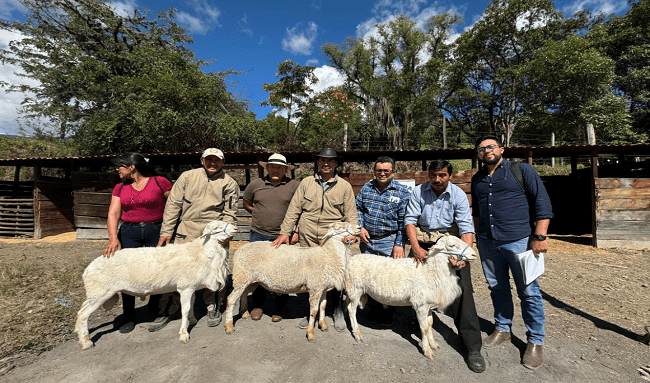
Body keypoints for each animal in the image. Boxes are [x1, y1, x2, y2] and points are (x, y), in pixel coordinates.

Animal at [74, 220, 235, 350]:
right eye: (216, 227)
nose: (235, 228)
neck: (203, 252)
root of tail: (87, 270)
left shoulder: (191, 287)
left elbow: (191, 306)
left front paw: (192, 321)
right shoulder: (185, 287)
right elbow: (185, 310)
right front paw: (184, 334)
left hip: (96, 293)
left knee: (82, 309)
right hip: (100, 292)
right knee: (82, 314)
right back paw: (86, 342)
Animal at [224, 222, 360, 342]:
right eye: (338, 227)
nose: (359, 227)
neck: (327, 255)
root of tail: (239, 249)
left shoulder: (323, 288)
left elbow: (323, 306)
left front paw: (323, 325)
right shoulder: (315, 288)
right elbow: (314, 311)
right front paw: (311, 334)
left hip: (250, 280)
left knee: (243, 294)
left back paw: (245, 313)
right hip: (241, 276)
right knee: (230, 299)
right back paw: (229, 326)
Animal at [344, 236, 476, 362]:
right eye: (452, 245)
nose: (474, 255)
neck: (431, 272)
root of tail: (350, 260)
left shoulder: (428, 305)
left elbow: (430, 324)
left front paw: (433, 344)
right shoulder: (421, 305)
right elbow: (424, 328)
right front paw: (427, 351)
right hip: (355, 289)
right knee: (352, 310)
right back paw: (357, 334)